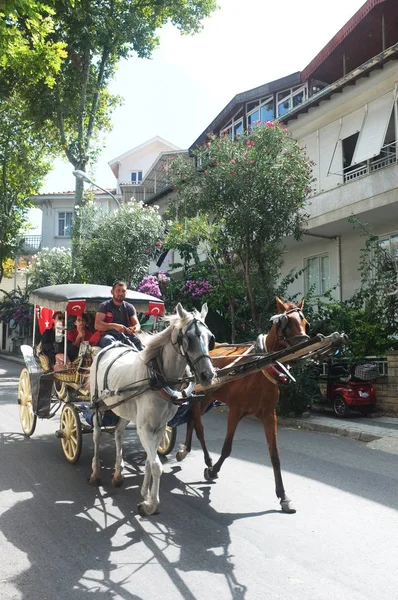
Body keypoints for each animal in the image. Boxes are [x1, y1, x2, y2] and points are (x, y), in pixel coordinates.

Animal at [88, 302, 216, 516]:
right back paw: (96, 473)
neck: (157, 378)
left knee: (118, 434)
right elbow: (156, 465)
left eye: (210, 338)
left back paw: (118, 473)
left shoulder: (160, 426)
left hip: (124, 409)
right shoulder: (144, 429)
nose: (208, 375)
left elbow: (149, 460)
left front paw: (145, 494)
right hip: (98, 404)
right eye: (188, 338)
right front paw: (151, 504)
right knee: (97, 435)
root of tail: (111, 347)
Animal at [176, 298, 310, 512]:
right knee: (198, 427)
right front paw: (213, 471)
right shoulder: (236, 411)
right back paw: (201, 457)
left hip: (204, 397)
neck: (259, 367)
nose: (304, 344)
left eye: (304, 321)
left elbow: (275, 456)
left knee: (191, 419)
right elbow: (227, 448)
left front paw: (283, 496)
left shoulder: (269, 415)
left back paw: (185, 449)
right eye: (286, 322)